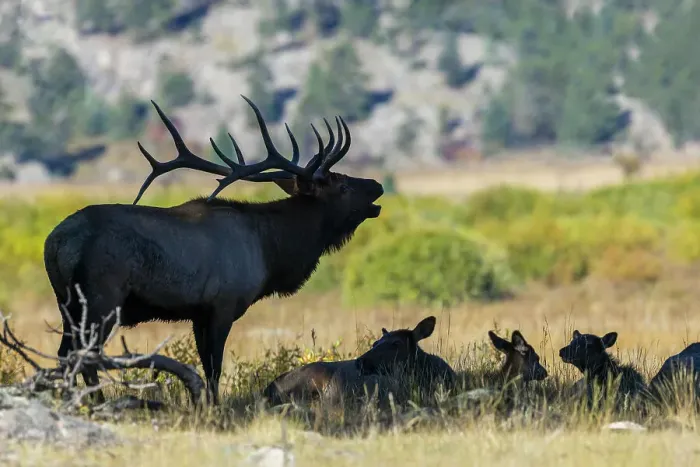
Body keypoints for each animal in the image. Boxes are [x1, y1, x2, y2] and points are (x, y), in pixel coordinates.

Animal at [43, 95, 384, 405]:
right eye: (342, 186)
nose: (378, 185)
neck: (271, 250)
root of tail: (55, 242)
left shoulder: (198, 314)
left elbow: (208, 366)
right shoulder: (223, 305)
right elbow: (214, 368)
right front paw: (213, 407)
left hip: (66, 304)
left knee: (64, 354)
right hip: (101, 300)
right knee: (86, 354)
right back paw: (95, 401)